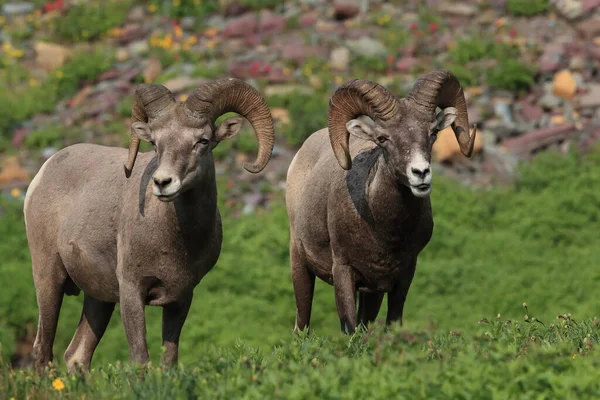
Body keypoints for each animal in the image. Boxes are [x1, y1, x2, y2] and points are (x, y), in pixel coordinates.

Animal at [23, 76, 276, 370]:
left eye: (202, 141)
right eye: (155, 143)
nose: (163, 182)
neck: (177, 241)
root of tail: (44, 171)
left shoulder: (181, 298)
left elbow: (169, 359)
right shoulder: (132, 290)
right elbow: (141, 359)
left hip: (98, 300)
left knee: (77, 355)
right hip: (48, 279)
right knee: (43, 350)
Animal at [286, 69, 478, 334]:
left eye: (433, 133)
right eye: (382, 138)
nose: (420, 173)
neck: (384, 233)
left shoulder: (401, 277)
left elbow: (392, 322)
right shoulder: (343, 271)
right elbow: (349, 326)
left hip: (371, 294)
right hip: (300, 266)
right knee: (302, 324)